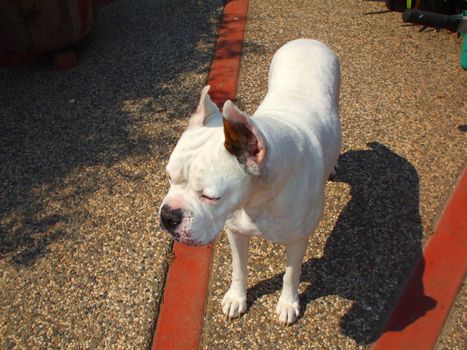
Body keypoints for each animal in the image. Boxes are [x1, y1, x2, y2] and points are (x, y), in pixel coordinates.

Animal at [160, 37, 340, 322]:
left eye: (210, 197)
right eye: (169, 176)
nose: (168, 215)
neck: (259, 199)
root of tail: (308, 40)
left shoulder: (298, 240)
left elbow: (291, 274)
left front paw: (288, 303)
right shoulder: (235, 231)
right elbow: (239, 268)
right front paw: (237, 297)